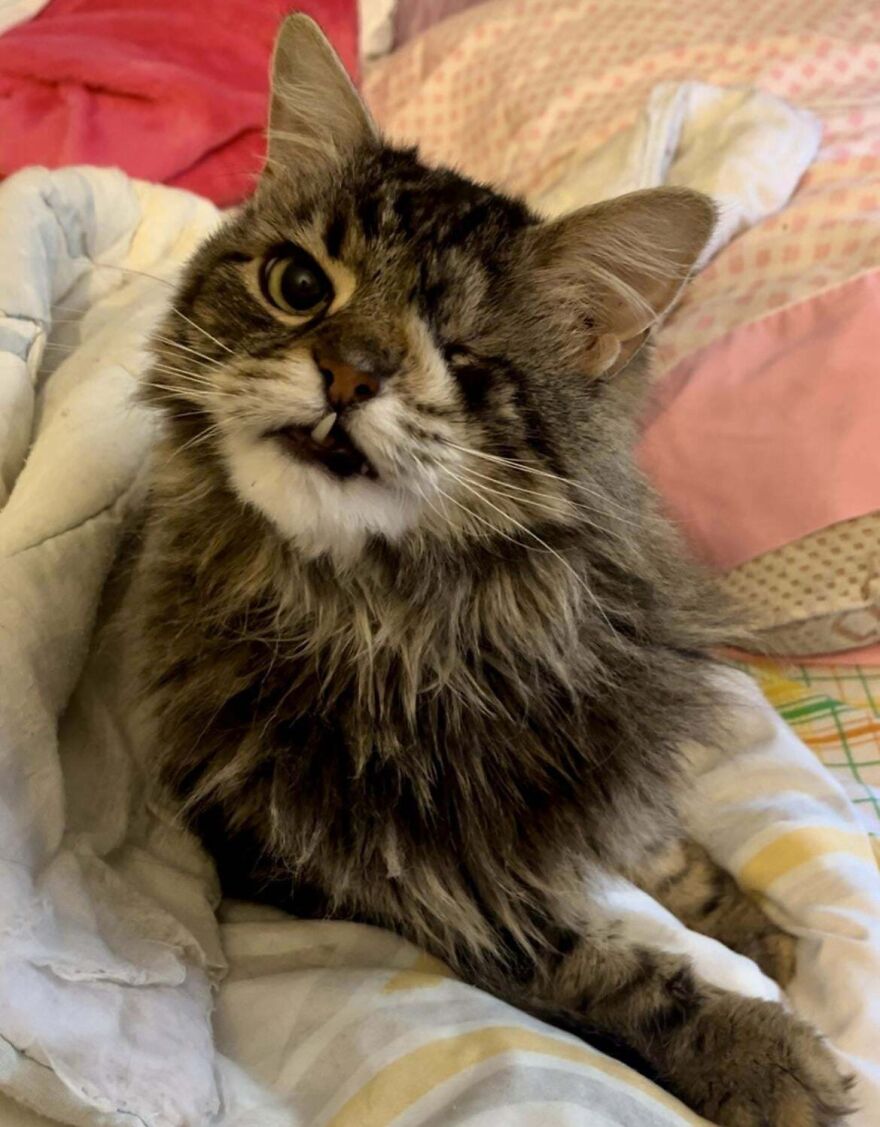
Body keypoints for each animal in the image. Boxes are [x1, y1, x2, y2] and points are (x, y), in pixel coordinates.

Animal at [134, 13, 856, 1122]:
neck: (424, 619)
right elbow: (594, 965)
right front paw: (754, 1048)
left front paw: (747, 923)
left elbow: (651, 845)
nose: (347, 372)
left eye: (462, 354)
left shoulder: (591, 742)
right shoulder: (358, 870)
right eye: (300, 287)